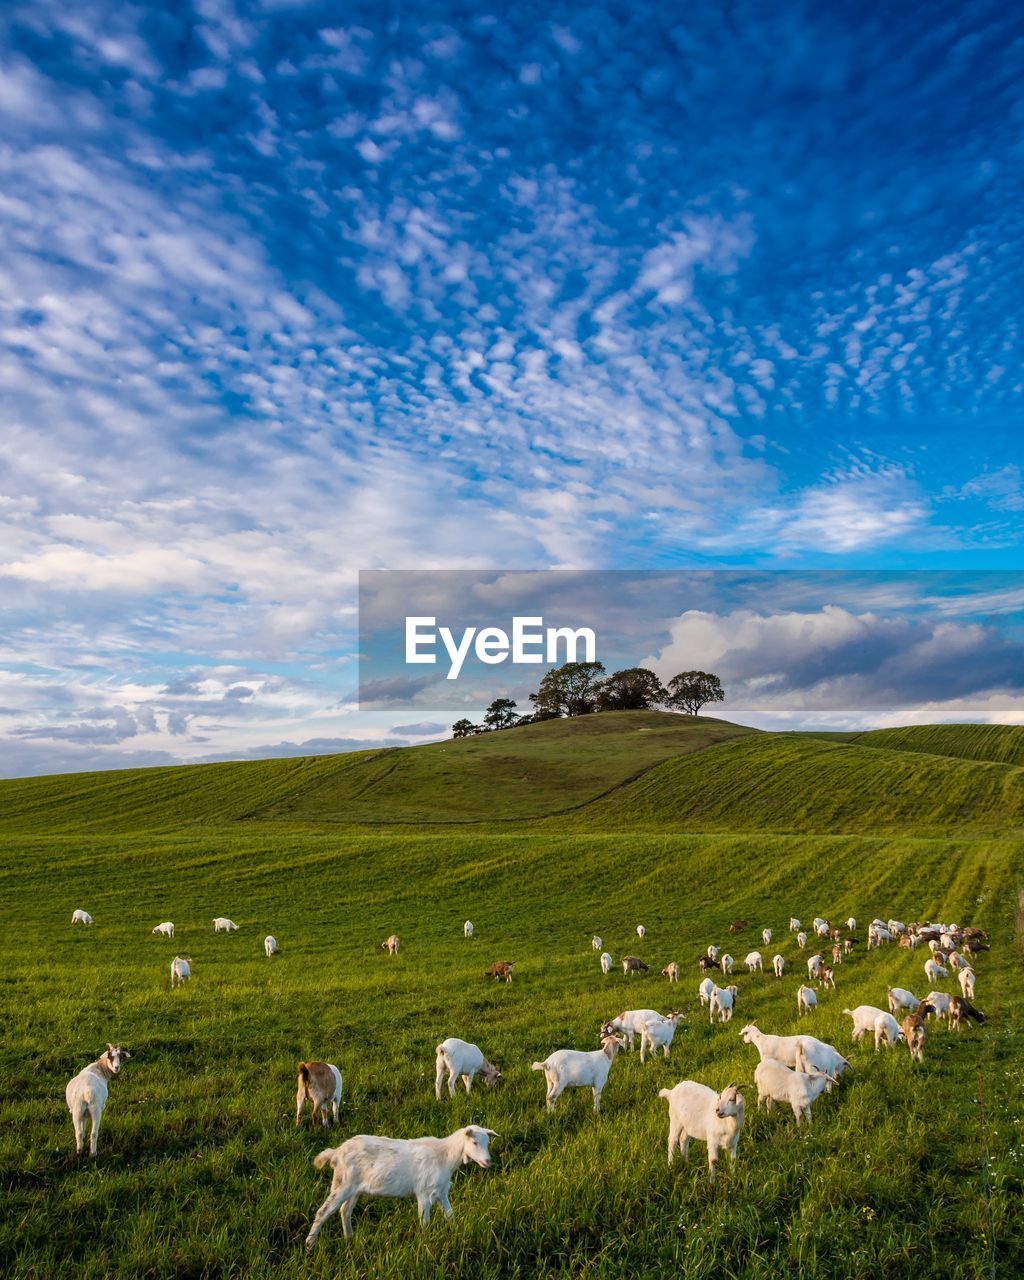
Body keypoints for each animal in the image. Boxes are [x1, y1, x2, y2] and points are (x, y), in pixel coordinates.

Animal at [304, 1126, 496, 1244]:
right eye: (474, 1142)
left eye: (488, 1142)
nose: (488, 1161)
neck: (445, 1156)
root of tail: (336, 1153)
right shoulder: (424, 1192)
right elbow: (425, 1222)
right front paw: (425, 1244)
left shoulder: (441, 1191)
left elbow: (450, 1215)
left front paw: (457, 1234)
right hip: (343, 1183)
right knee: (323, 1211)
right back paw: (310, 1245)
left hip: (354, 1189)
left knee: (345, 1211)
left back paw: (349, 1238)